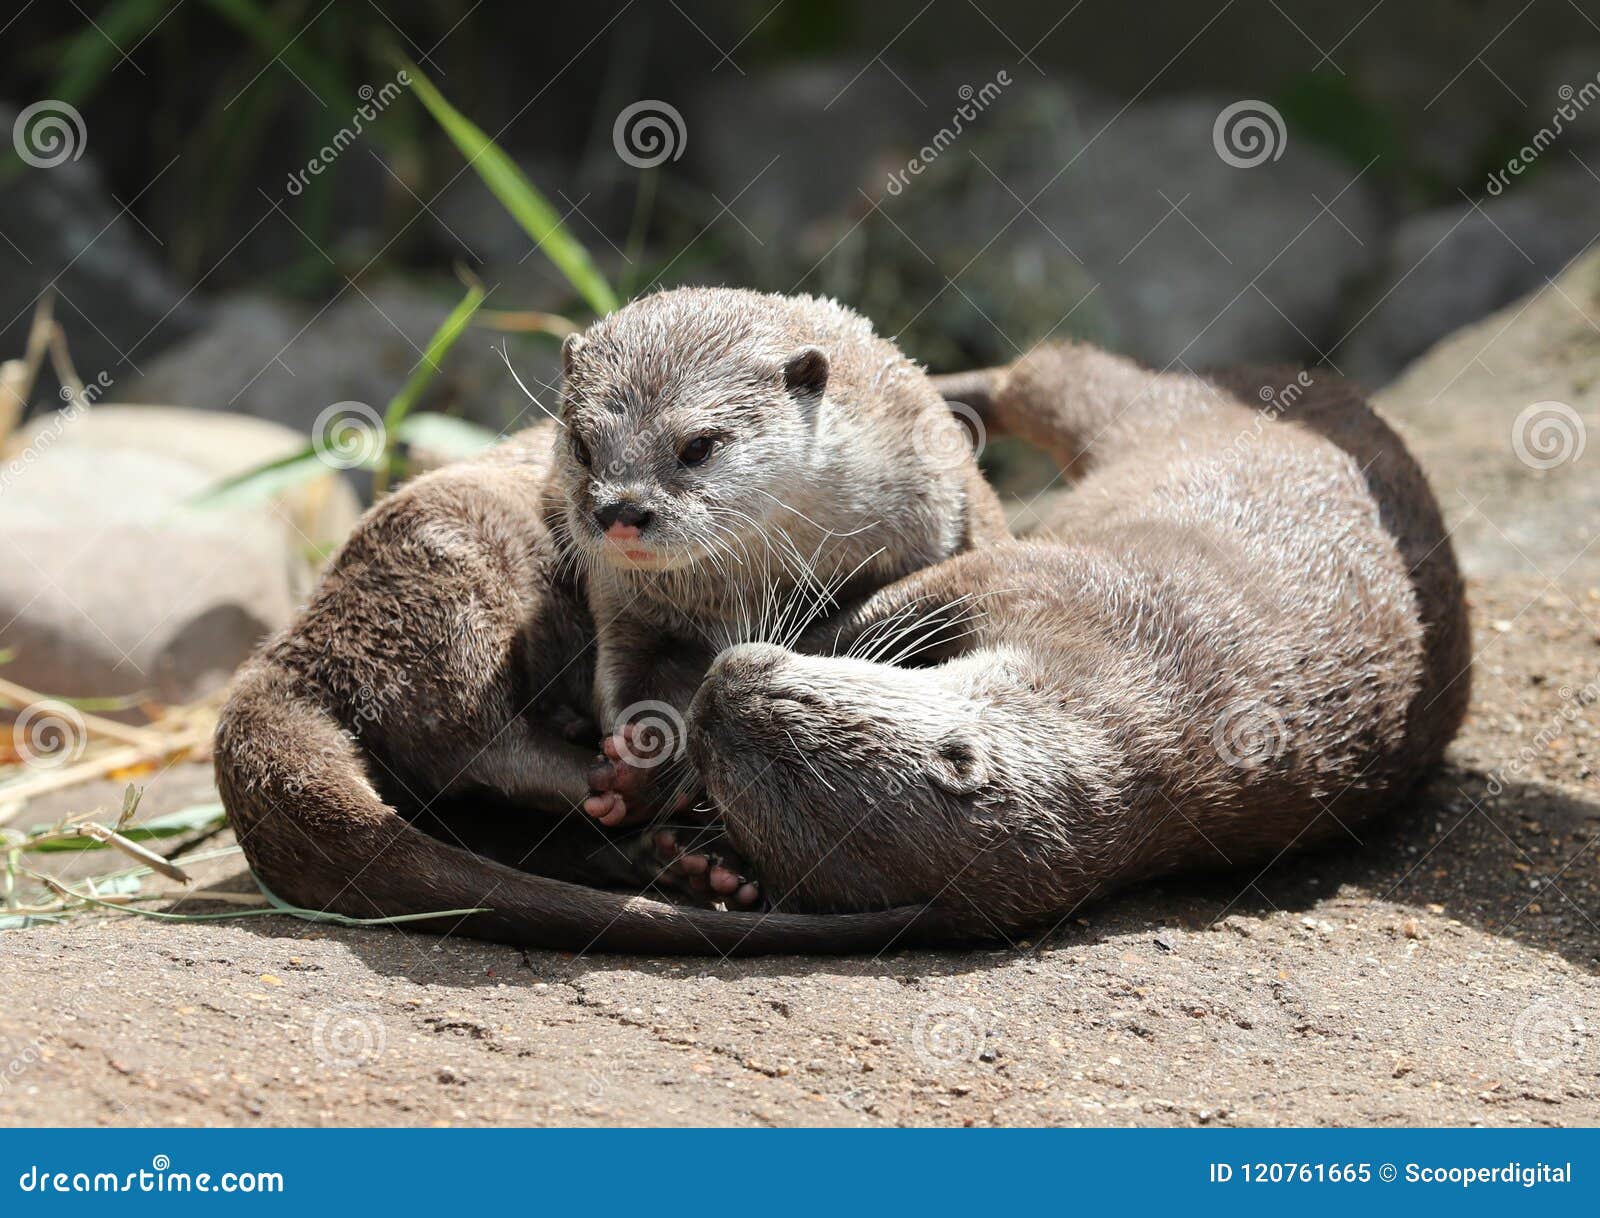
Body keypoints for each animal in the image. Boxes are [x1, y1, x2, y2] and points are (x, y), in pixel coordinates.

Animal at [656, 344, 1465, 941]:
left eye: (764, 768)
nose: (715, 686)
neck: (1105, 691)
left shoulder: (1043, 585)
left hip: (1144, 408)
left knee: (1057, 369)